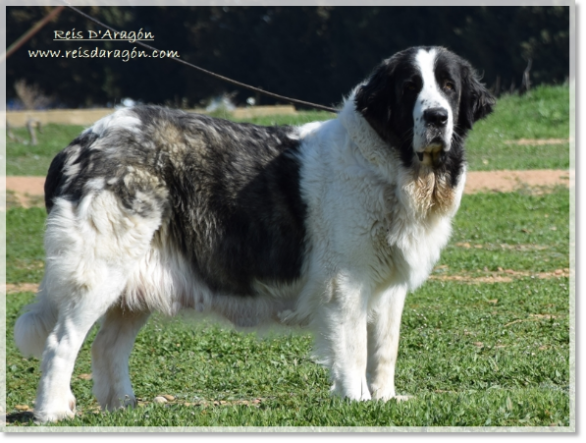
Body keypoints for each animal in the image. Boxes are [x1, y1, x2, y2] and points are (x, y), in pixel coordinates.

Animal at [13, 46, 492, 424]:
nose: (436, 116)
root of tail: (81, 142)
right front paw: (356, 401)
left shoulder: (387, 289)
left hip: (130, 279)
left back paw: (123, 407)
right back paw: (53, 411)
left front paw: (385, 399)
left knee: (106, 347)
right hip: (99, 268)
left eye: (448, 87)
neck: (394, 165)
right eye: (411, 87)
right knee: (61, 342)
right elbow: (354, 347)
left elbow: (384, 349)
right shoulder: (347, 285)